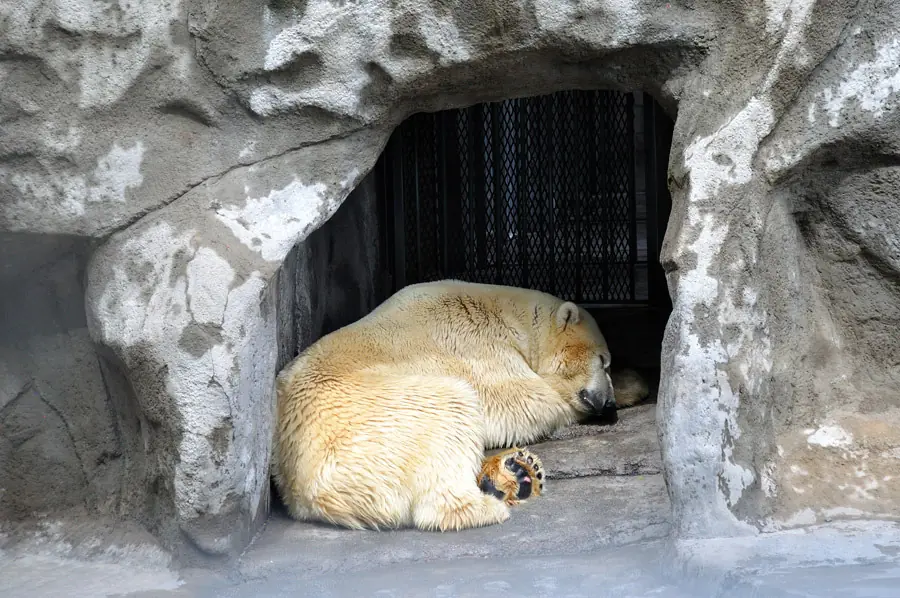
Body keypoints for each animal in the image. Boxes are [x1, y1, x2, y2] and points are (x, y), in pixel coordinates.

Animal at [272, 279, 616, 532]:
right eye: (603, 360)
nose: (608, 404)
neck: (508, 316)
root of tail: (308, 493)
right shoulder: (477, 344)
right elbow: (524, 399)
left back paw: (516, 472)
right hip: (386, 417)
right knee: (452, 412)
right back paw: (489, 503)